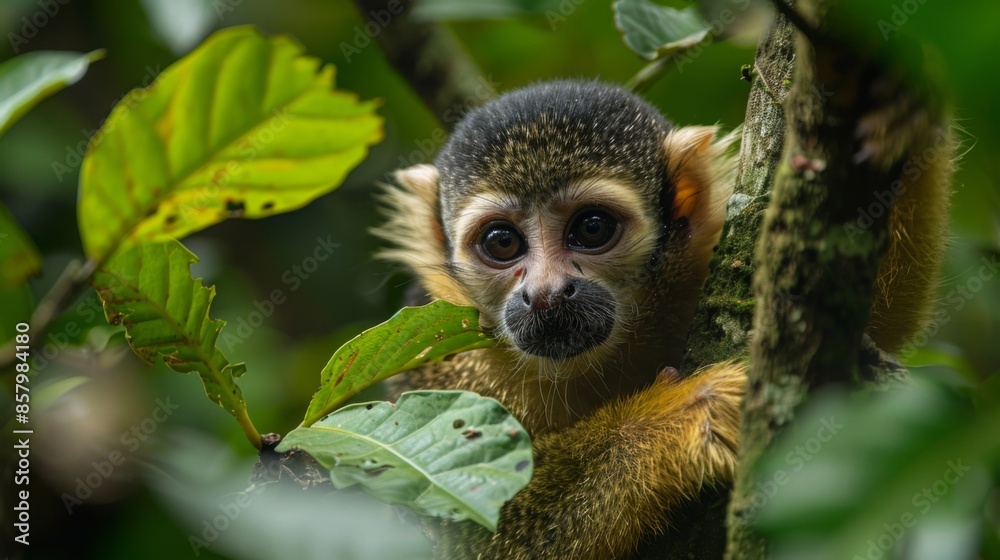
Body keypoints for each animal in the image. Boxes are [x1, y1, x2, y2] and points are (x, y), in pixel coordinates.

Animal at [373, 77, 953, 559]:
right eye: (501, 242)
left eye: (591, 228)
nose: (545, 294)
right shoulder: (442, 357)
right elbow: (462, 532)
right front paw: (684, 414)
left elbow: (858, 330)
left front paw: (897, 114)